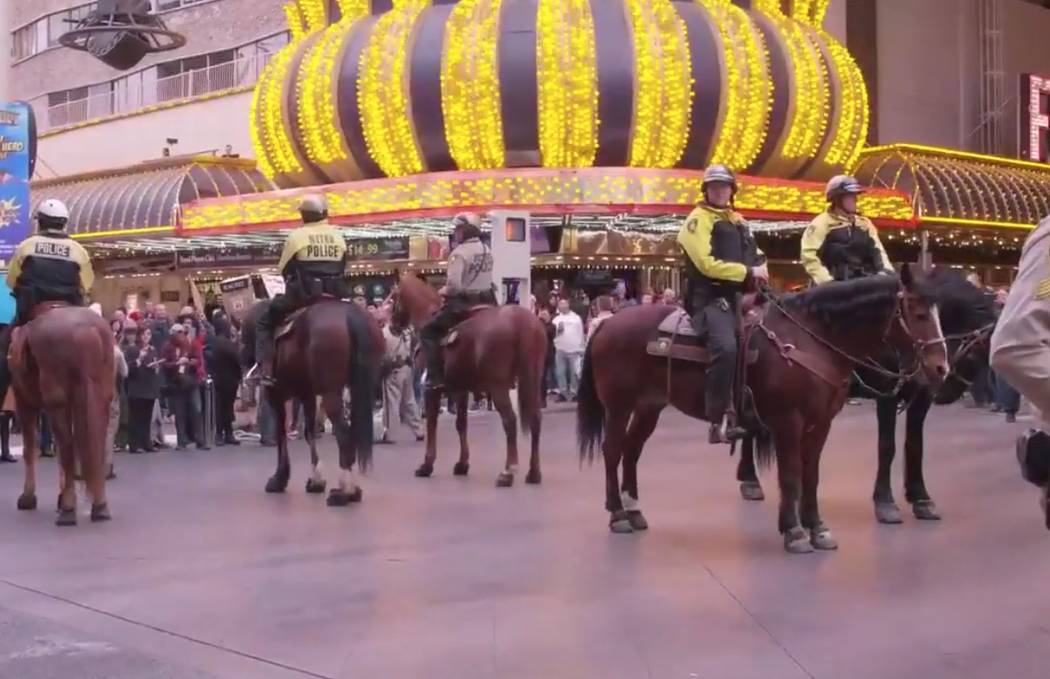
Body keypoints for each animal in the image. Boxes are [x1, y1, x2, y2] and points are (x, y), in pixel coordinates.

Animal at [7, 306, 114, 528]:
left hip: (57, 403)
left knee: (66, 449)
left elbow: (29, 449)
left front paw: (28, 497)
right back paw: (99, 506)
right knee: (97, 446)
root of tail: (84, 331)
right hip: (101, 400)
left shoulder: (24, 402)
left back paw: (68, 511)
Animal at [241, 298, 382, 503]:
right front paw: (316, 480)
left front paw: (279, 478)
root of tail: (350, 315)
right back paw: (353, 490)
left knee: (344, 434)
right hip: (361, 390)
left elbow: (281, 436)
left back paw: (345, 492)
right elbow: (309, 433)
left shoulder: (276, 396)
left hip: (332, 393)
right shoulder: (307, 395)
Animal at [390, 272, 546, 486]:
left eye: (393, 298)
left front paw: (427, 464)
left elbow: (431, 424)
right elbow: (461, 424)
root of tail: (523, 321)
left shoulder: (431, 389)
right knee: (535, 419)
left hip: (499, 387)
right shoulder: (460, 389)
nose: (392, 327)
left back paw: (508, 471)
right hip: (532, 381)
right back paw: (534, 472)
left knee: (510, 421)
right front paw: (462, 464)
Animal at [575, 268, 953, 554]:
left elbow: (811, 474)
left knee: (631, 450)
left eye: (940, 313)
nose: (941, 368)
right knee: (612, 451)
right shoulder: (788, 422)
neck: (810, 340)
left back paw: (635, 511)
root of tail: (607, 324)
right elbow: (790, 475)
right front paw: (794, 531)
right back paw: (618, 515)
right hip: (619, 406)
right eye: (919, 313)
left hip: (649, 406)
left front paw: (817, 528)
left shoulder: (820, 424)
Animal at [734, 268, 995, 522]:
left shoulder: (921, 399)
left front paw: (920, 497)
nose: (944, 378)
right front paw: (885, 502)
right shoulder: (887, 395)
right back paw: (750, 480)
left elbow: (914, 444)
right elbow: (887, 445)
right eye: (976, 344)